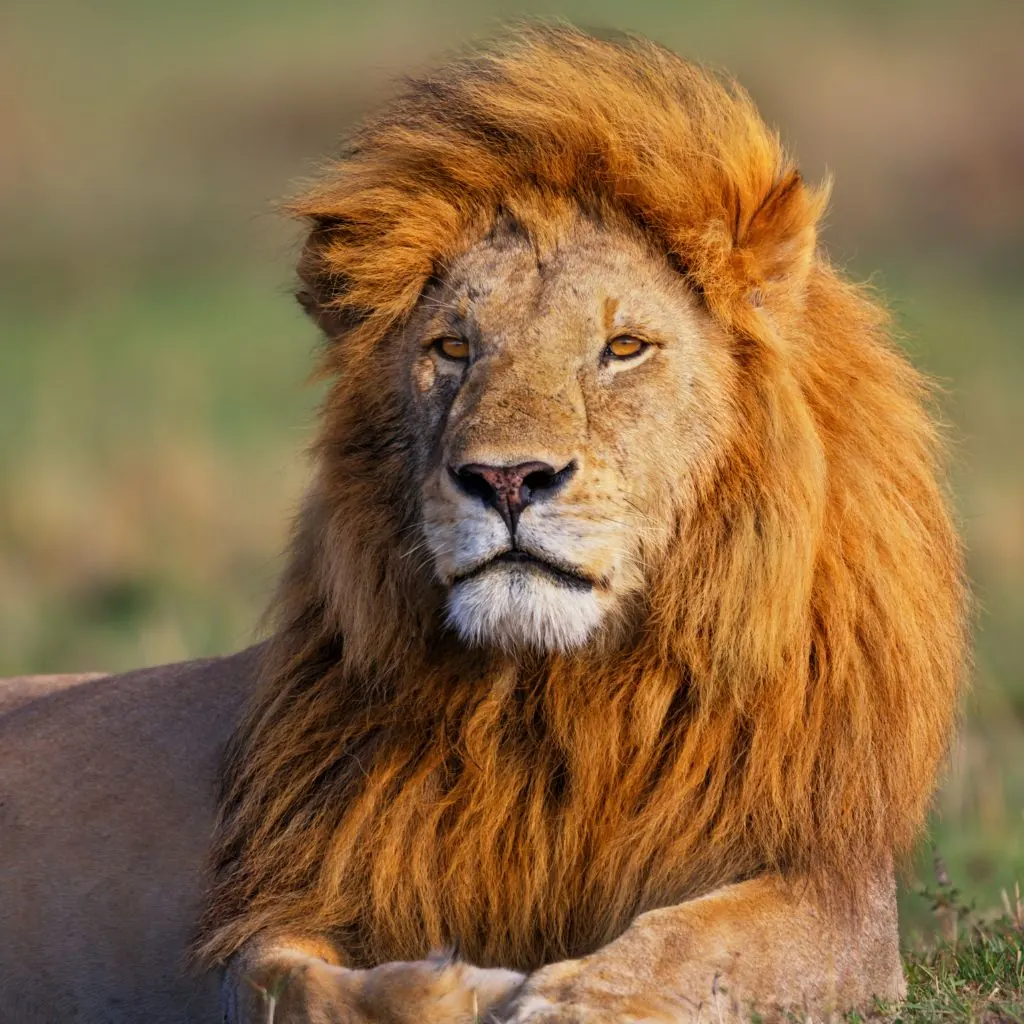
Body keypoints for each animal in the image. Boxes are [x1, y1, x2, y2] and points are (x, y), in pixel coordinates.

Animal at [0, 25, 967, 1024]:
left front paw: (567, 1000)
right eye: (453, 348)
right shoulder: (274, 907)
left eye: (624, 348)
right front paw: (465, 987)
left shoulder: (834, 895)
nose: (505, 479)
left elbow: (695, 945)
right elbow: (302, 986)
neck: (557, 699)